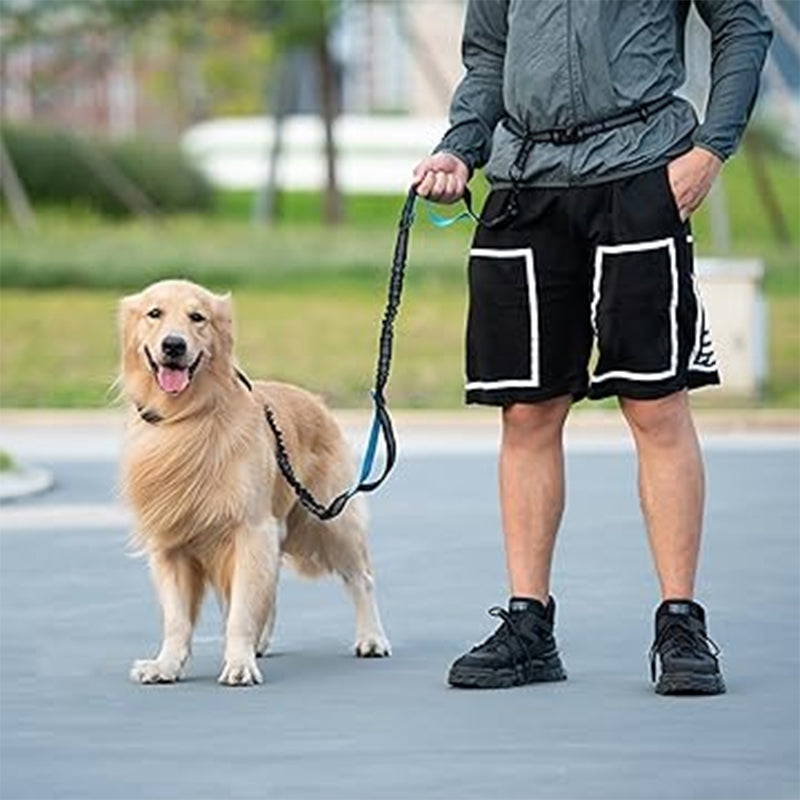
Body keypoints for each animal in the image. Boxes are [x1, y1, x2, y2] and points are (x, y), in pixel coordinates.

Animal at [119, 278, 390, 684]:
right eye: (155, 313)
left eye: (197, 317)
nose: (173, 345)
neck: (187, 417)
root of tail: (317, 401)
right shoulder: (171, 540)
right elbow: (178, 618)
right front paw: (165, 665)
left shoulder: (250, 529)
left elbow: (242, 609)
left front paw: (239, 663)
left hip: (329, 517)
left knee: (361, 578)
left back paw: (371, 638)